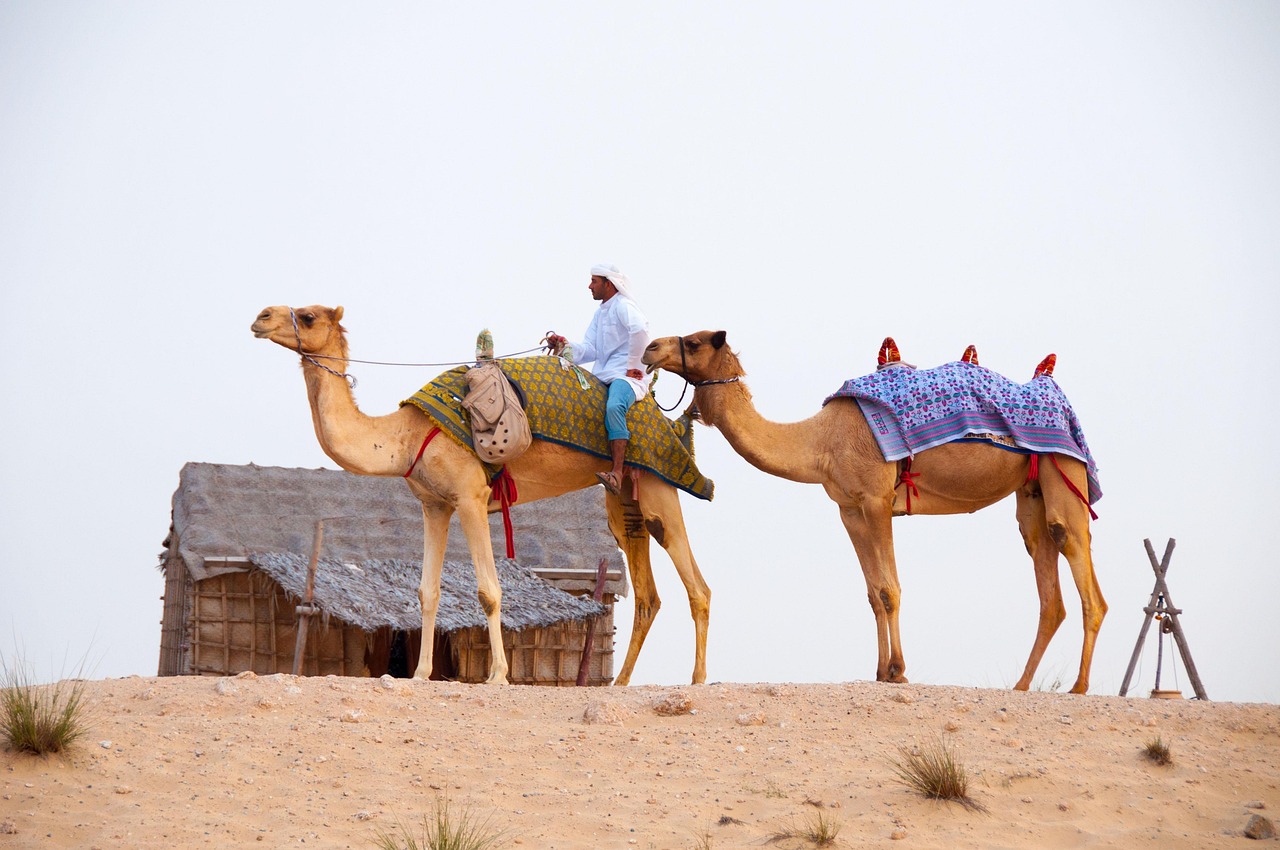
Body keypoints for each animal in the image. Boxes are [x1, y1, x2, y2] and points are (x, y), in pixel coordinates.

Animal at [251, 305, 711, 685]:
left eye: (308, 316)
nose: (261, 317)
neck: (406, 434)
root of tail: (669, 422)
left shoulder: (471, 496)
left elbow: (489, 591)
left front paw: (498, 675)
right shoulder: (435, 504)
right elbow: (427, 592)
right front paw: (421, 673)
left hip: (657, 485)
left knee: (697, 585)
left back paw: (697, 679)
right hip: (624, 500)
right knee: (648, 594)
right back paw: (622, 683)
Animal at [642, 331, 1107, 694]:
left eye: (695, 341)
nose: (650, 348)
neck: (820, 441)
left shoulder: (877, 498)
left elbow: (890, 588)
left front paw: (898, 671)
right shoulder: (849, 508)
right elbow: (872, 592)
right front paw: (881, 670)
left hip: (1064, 470)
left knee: (1080, 567)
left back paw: (1079, 686)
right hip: (1031, 492)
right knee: (1049, 584)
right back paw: (1023, 685)